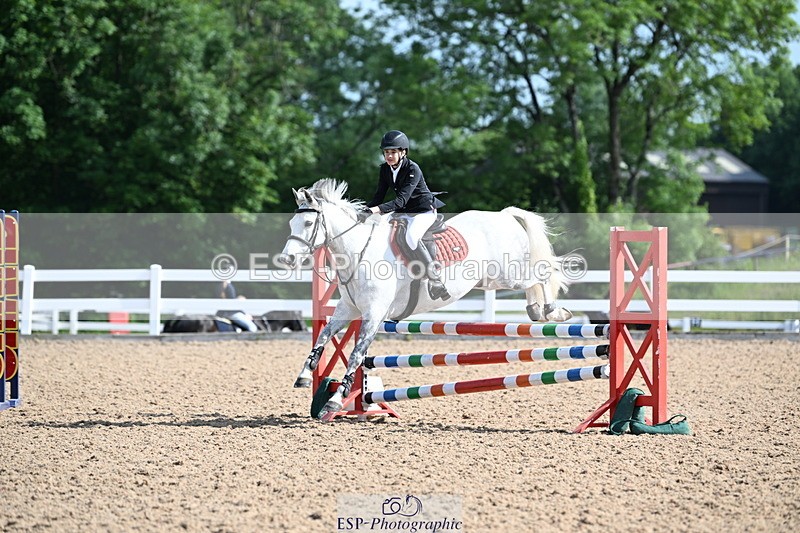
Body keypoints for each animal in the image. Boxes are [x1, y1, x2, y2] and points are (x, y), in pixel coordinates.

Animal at [278, 178, 573, 420]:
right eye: (291, 223)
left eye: (308, 223)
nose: (287, 259)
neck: (358, 252)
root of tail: (505, 216)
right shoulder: (348, 309)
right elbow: (323, 336)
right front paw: (304, 376)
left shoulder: (374, 314)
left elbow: (355, 355)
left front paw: (335, 401)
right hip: (493, 279)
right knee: (533, 279)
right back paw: (535, 309)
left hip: (507, 275)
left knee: (540, 273)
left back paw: (552, 311)